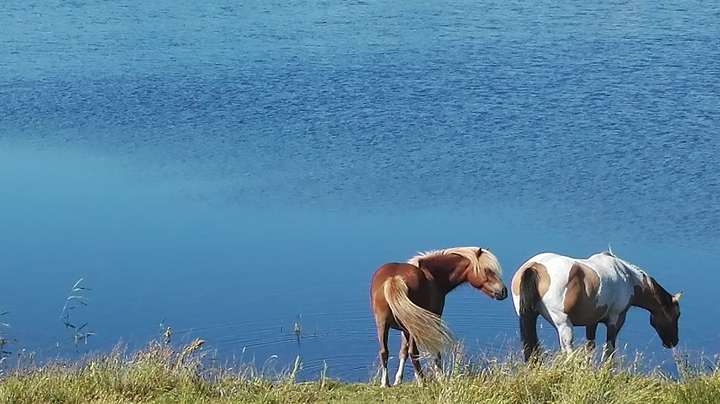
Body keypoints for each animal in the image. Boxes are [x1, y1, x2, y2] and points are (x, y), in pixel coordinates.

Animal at [370, 246, 507, 387]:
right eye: (487, 270)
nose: (503, 291)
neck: (432, 275)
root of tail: (394, 279)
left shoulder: (404, 328)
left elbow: (402, 352)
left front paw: (398, 380)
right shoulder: (433, 319)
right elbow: (434, 352)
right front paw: (440, 377)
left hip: (383, 324)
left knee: (384, 352)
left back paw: (385, 383)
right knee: (413, 353)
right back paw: (422, 382)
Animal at [510, 249, 682, 362]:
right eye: (677, 315)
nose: (672, 342)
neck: (628, 278)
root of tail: (535, 267)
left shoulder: (591, 322)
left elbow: (590, 349)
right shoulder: (616, 320)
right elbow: (609, 349)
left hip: (534, 317)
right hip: (564, 324)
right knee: (568, 350)